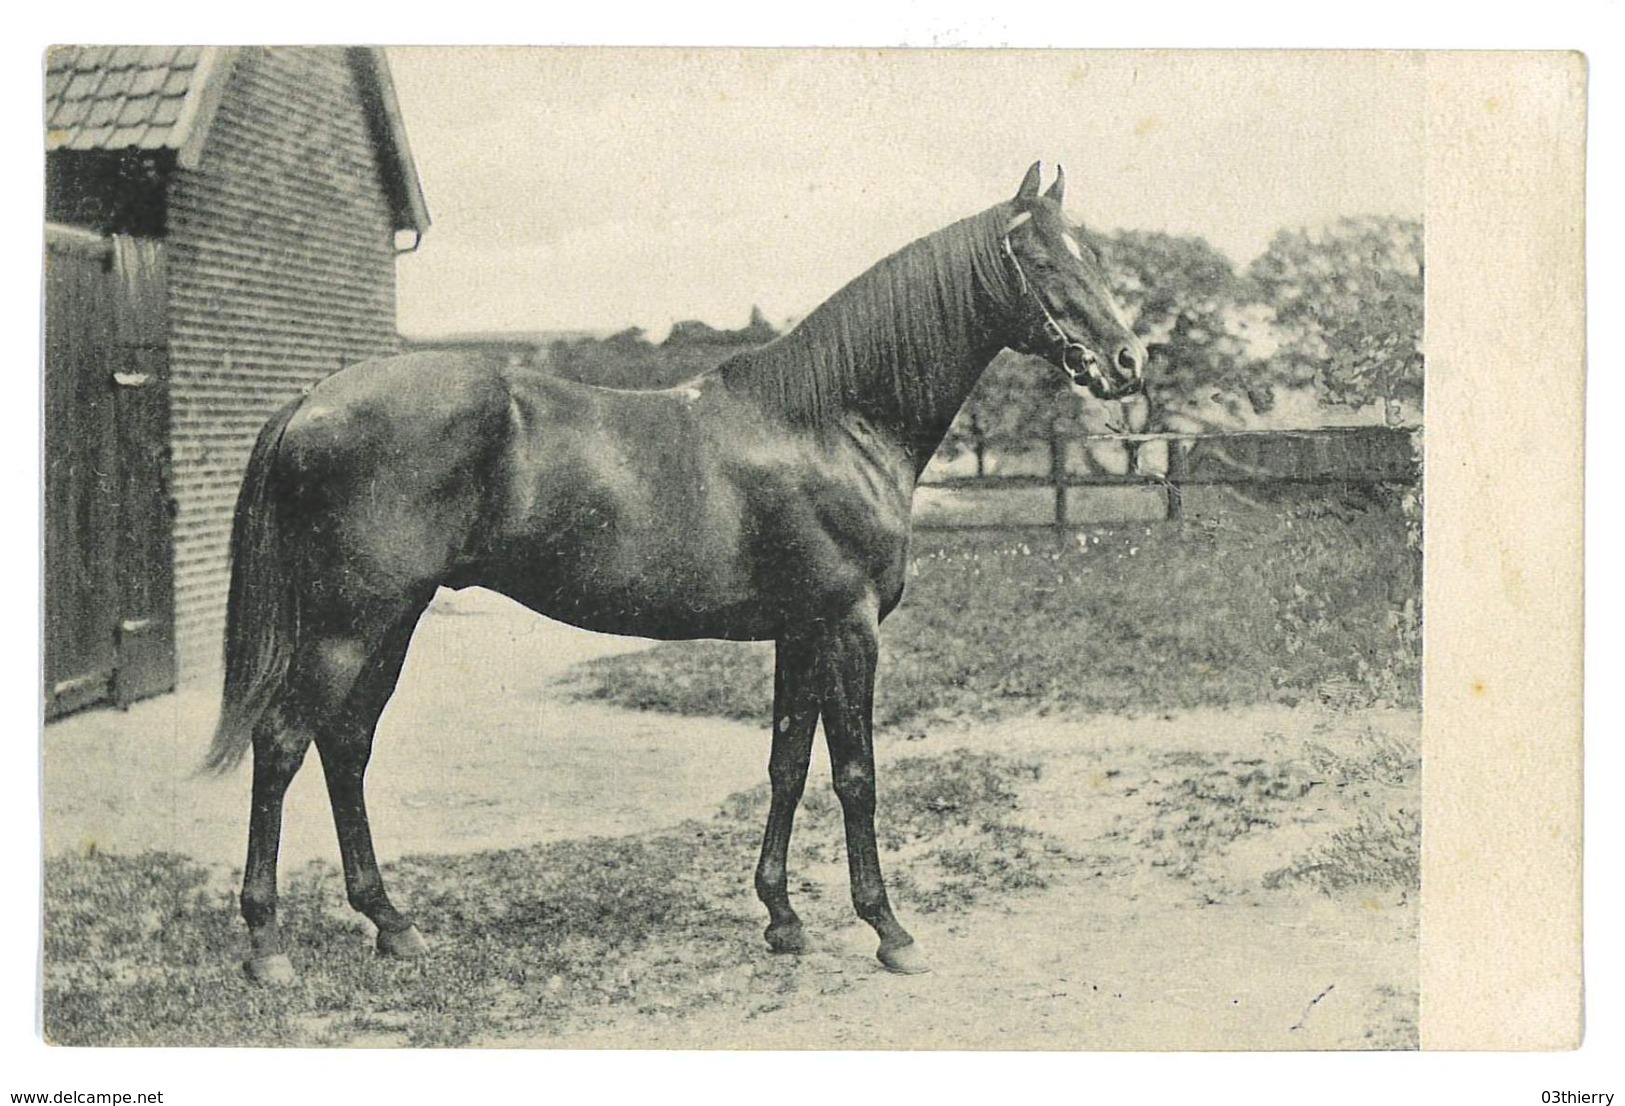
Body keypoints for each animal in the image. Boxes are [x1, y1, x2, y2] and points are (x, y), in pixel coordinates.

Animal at [206, 159, 1144, 980]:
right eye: (1042, 257)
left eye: (1093, 255)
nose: (1128, 362)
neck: (831, 421)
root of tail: (311, 400)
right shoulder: (847, 628)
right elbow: (855, 776)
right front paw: (889, 931)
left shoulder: (800, 633)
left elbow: (786, 763)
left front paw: (782, 919)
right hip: (347, 622)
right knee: (282, 744)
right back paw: (267, 946)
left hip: (392, 620)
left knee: (347, 745)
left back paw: (392, 924)